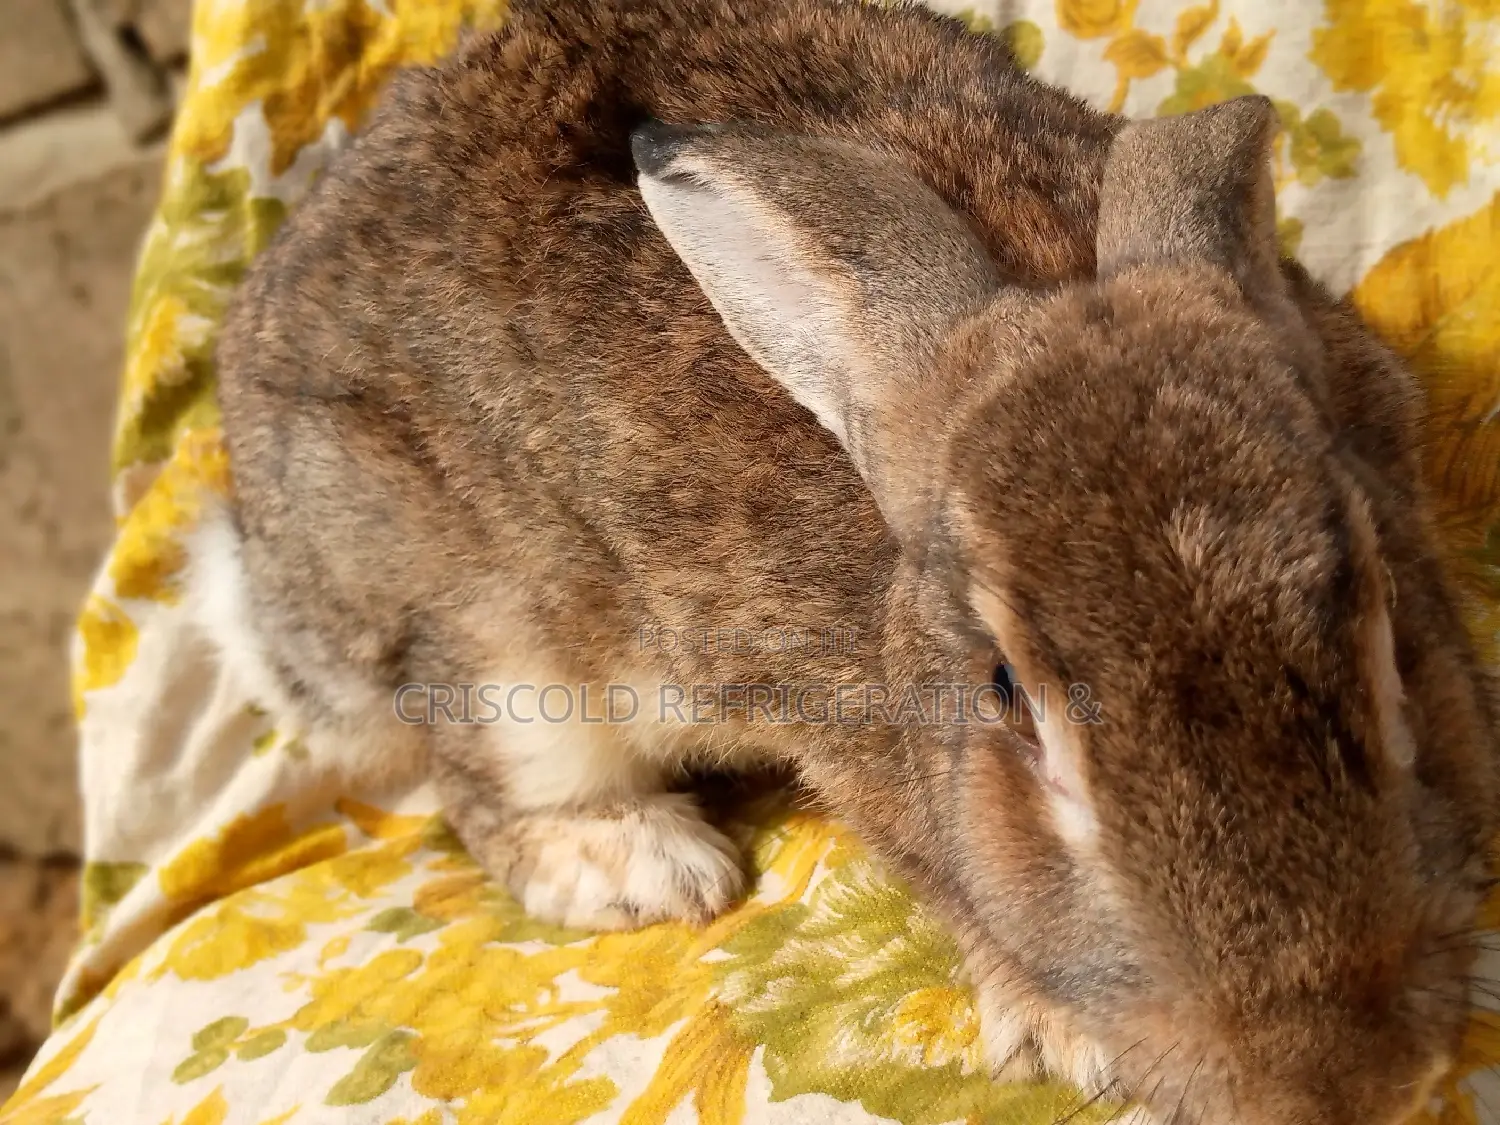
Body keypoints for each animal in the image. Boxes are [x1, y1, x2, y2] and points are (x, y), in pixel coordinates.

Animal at [208, 0, 1500, 1121]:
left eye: (1383, 610)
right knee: (485, 781)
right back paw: (646, 862)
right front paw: (1063, 1031)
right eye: (1006, 696)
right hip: (487, 641)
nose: (1334, 1084)